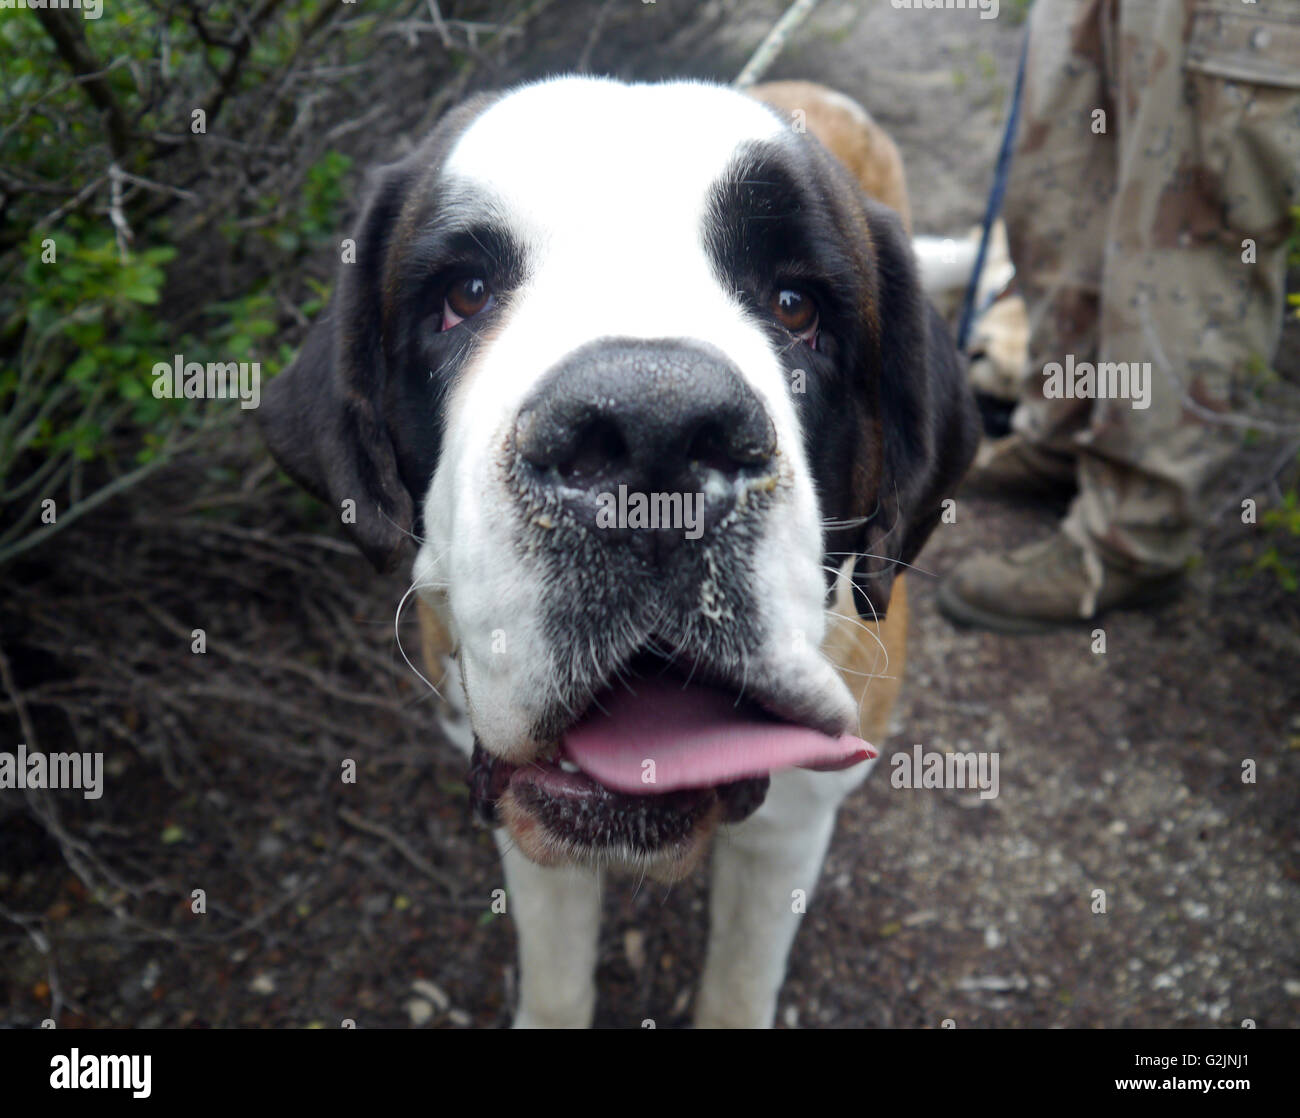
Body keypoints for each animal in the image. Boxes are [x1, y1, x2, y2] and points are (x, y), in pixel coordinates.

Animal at [261, 74, 977, 1024]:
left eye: (797, 308)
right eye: (465, 293)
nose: (653, 434)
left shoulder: (791, 830)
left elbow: (741, 979)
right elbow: (556, 975)